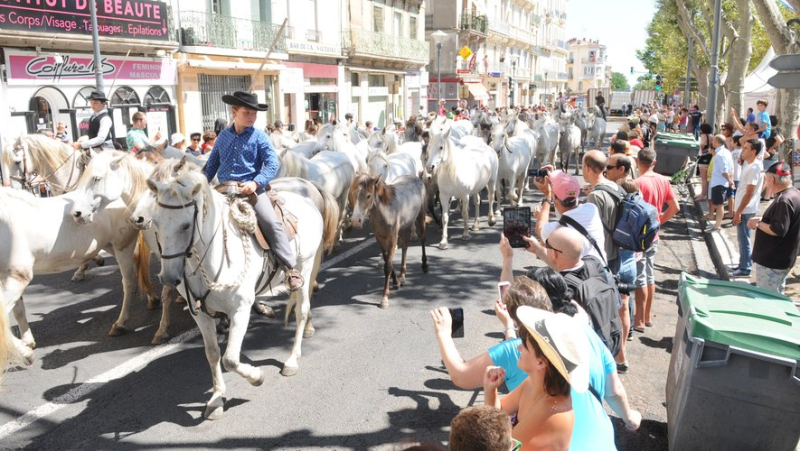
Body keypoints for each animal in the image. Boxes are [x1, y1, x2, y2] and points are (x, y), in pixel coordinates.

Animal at [145, 169, 326, 420]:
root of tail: (307, 199)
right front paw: (216, 399)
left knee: (301, 310)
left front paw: (256, 377)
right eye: (156, 223)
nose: (169, 278)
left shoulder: (240, 310)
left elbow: (230, 359)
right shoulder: (201, 315)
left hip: (305, 268)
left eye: (185, 225)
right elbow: (213, 354)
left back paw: (292, 359)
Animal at [348, 175, 428, 308]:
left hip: (420, 215)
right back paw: (402, 275)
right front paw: (396, 282)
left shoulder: (392, 238)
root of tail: (416, 178)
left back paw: (425, 266)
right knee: (405, 246)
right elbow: (387, 261)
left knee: (422, 238)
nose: (355, 221)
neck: (385, 213)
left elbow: (388, 266)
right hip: (402, 228)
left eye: (368, 195)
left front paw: (384, 298)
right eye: (354, 194)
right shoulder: (380, 238)